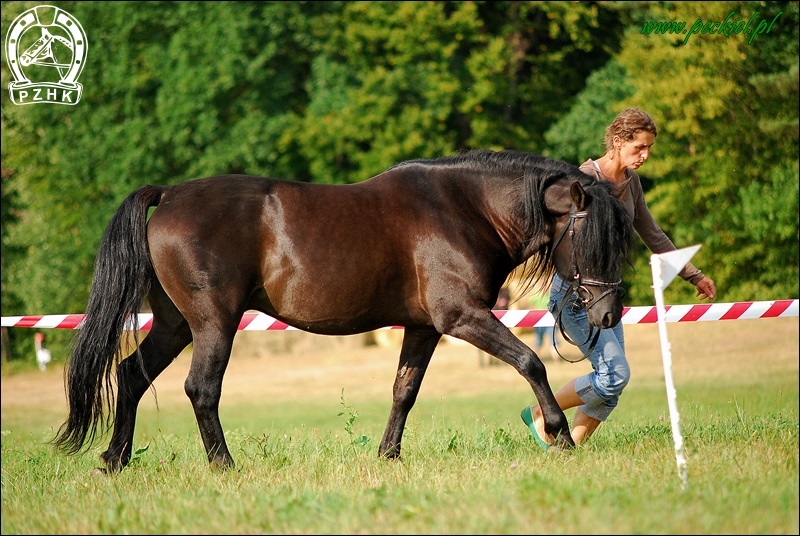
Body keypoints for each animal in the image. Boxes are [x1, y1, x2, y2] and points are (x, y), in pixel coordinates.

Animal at [53, 149, 636, 472]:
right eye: (597, 239)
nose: (609, 315)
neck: (462, 208)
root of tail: (169, 195)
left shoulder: (423, 328)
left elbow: (404, 390)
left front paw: (388, 455)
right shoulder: (462, 317)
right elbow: (530, 362)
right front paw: (560, 434)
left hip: (175, 324)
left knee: (131, 375)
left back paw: (113, 460)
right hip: (213, 323)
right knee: (201, 389)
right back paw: (223, 465)